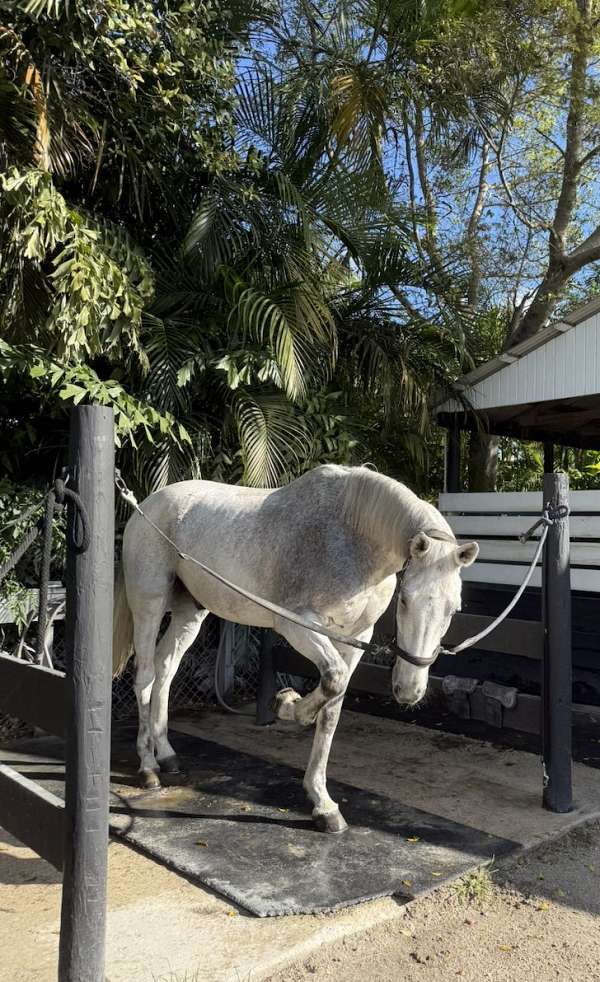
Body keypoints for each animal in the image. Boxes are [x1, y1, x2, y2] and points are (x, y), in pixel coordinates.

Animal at [112, 464, 478, 833]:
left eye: (455, 609)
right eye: (405, 601)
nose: (408, 690)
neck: (351, 537)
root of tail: (147, 506)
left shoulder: (354, 638)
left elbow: (332, 709)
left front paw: (323, 804)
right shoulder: (297, 625)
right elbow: (332, 680)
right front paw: (287, 705)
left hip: (190, 613)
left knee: (166, 669)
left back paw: (167, 754)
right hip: (149, 606)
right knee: (145, 677)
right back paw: (148, 767)